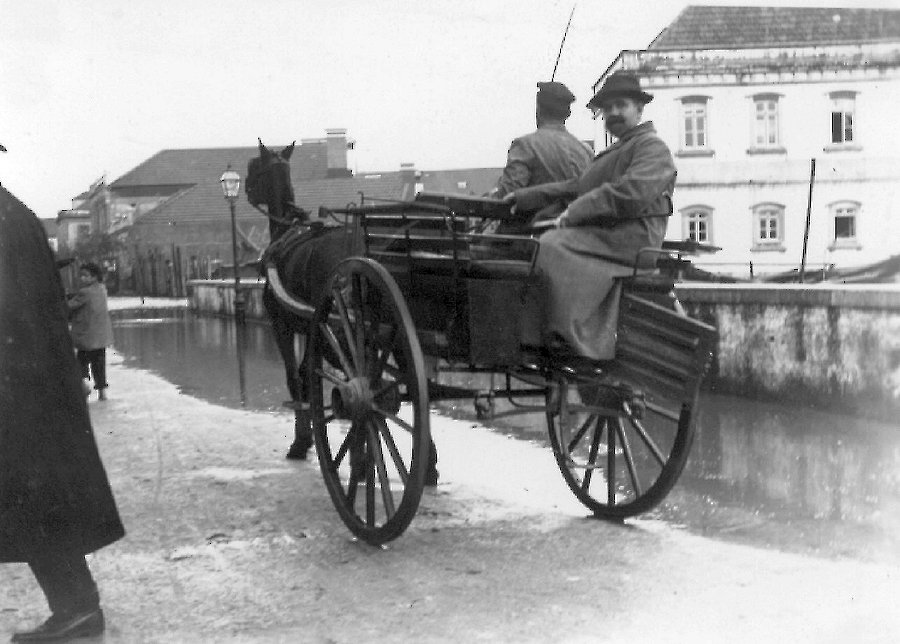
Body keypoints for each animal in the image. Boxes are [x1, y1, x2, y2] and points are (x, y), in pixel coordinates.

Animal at [246, 140, 439, 484]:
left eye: (254, 167)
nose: (243, 186)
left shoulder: (284, 325)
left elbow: (296, 379)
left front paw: (301, 441)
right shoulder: (313, 328)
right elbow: (307, 377)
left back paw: (361, 460)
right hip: (395, 329)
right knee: (415, 386)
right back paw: (425, 464)